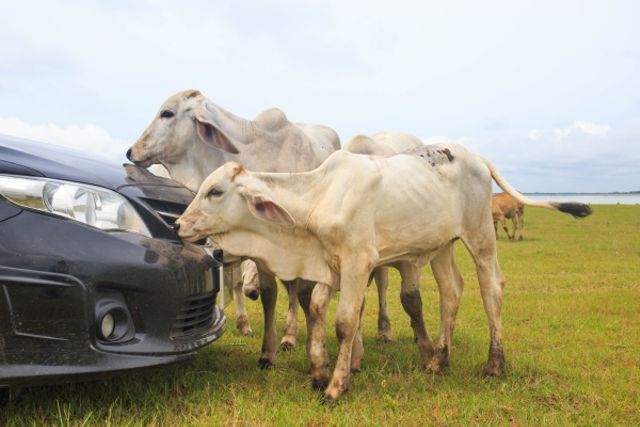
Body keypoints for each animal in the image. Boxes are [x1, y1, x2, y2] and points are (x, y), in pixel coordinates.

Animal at [174, 135, 592, 402]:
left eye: (214, 191)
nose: (179, 224)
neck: (318, 197)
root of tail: (474, 155)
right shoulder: (333, 266)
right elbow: (317, 308)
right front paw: (318, 371)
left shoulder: (358, 262)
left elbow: (344, 322)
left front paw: (335, 386)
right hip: (441, 245)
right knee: (451, 291)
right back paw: (439, 359)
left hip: (480, 235)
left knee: (492, 289)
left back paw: (494, 363)